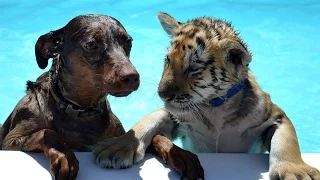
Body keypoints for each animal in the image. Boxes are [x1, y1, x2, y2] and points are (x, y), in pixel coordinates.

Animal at [0, 14, 140, 180]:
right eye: (91, 44)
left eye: (129, 42)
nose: (132, 77)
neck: (80, 110)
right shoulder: (10, 142)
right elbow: (46, 133)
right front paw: (64, 156)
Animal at [93, 11, 320, 179]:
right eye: (168, 60)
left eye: (193, 67)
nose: (162, 94)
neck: (216, 107)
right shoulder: (175, 118)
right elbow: (150, 119)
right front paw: (117, 147)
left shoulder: (276, 116)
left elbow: (287, 140)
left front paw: (296, 171)